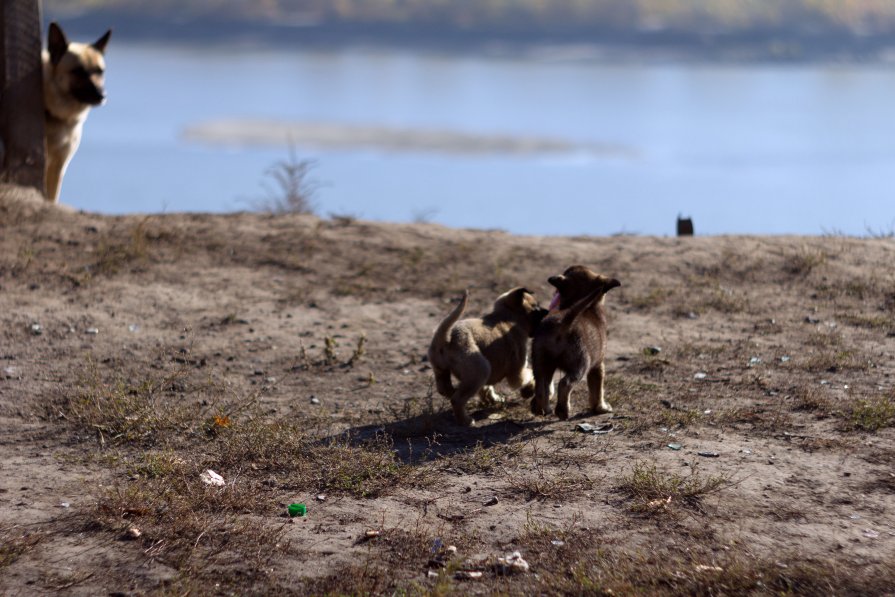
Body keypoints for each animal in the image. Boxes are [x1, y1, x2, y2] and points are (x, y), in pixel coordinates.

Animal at [430, 288, 548, 424]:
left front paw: (493, 399)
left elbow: (487, 388)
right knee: (457, 400)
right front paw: (529, 390)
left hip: (442, 371)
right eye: (536, 307)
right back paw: (466, 420)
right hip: (481, 370)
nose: (547, 311)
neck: (507, 317)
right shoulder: (517, 374)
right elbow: (530, 375)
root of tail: (446, 337)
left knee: (444, 389)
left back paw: (453, 393)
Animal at [532, 266, 624, 420]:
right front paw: (601, 408)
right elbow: (598, 390)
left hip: (542, 364)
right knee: (565, 384)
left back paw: (543, 409)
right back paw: (563, 411)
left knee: (541, 387)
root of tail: (564, 322)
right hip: (580, 365)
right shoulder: (598, 365)